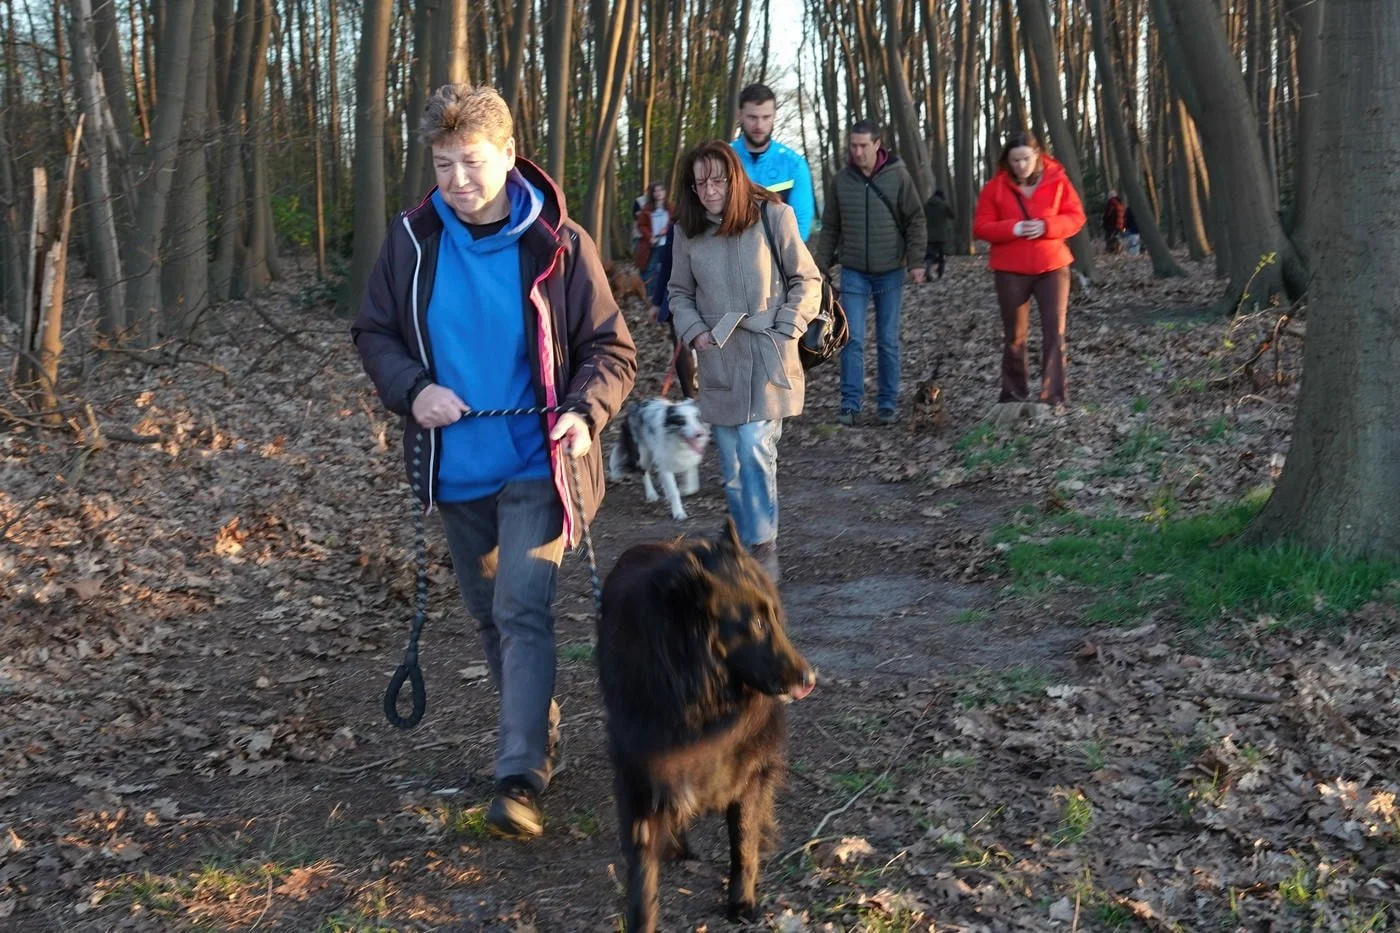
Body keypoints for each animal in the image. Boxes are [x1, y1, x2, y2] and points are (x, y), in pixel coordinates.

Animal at [597, 520, 816, 932]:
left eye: (776, 616)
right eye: (757, 623)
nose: (810, 679)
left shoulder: (748, 771)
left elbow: (743, 842)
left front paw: (742, 902)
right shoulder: (640, 775)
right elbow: (642, 867)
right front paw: (642, 920)